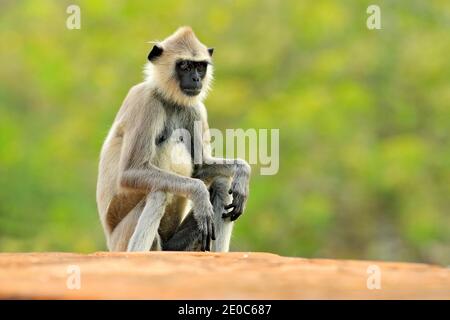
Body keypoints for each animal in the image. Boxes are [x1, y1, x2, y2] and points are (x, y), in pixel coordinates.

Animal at [96, 26, 251, 252]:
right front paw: (200, 193)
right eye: (185, 66)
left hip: (176, 246)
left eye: (200, 67)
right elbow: (130, 172)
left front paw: (242, 171)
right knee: (159, 192)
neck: (169, 99)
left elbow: (201, 167)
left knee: (222, 182)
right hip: (122, 239)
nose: (196, 79)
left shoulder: (195, 109)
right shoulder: (146, 101)